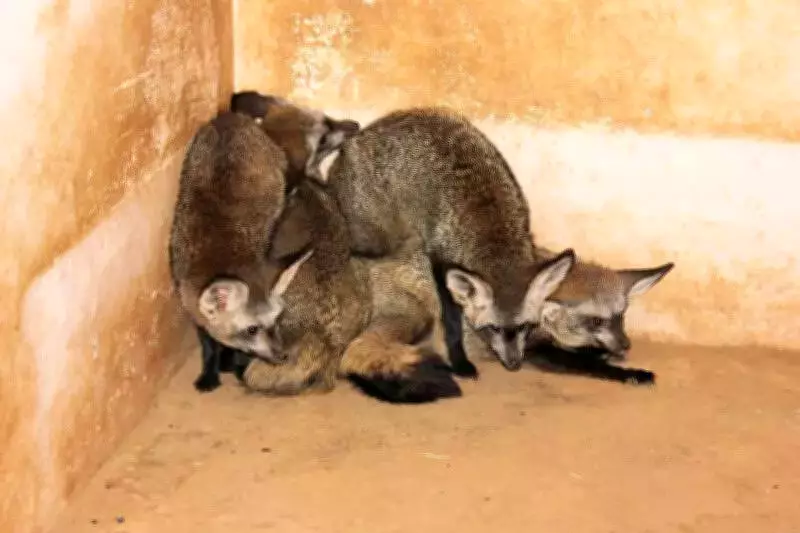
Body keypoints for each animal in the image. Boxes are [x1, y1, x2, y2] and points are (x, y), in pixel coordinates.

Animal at [168, 111, 315, 392]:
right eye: (251, 330)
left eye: (277, 321)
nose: (283, 355)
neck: (224, 253)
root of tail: (231, 116)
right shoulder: (191, 305)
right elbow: (208, 345)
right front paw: (210, 371)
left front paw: (234, 363)